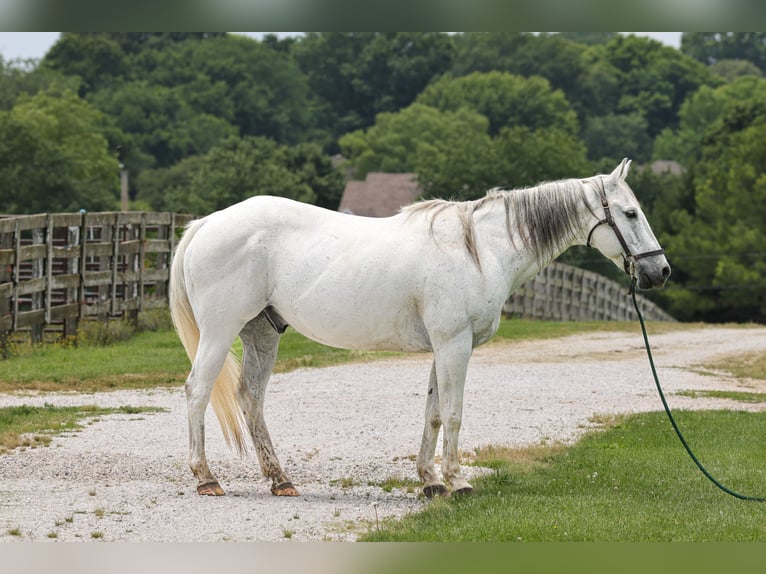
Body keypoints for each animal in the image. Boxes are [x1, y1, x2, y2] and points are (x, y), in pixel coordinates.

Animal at [169, 158, 670, 498]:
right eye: (630, 213)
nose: (659, 271)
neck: (479, 249)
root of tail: (207, 223)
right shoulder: (455, 345)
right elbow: (453, 412)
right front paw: (458, 482)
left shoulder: (443, 348)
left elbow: (432, 412)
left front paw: (430, 481)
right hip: (220, 332)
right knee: (198, 391)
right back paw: (207, 478)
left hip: (262, 333)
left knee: (251, 400)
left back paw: (280, 481)